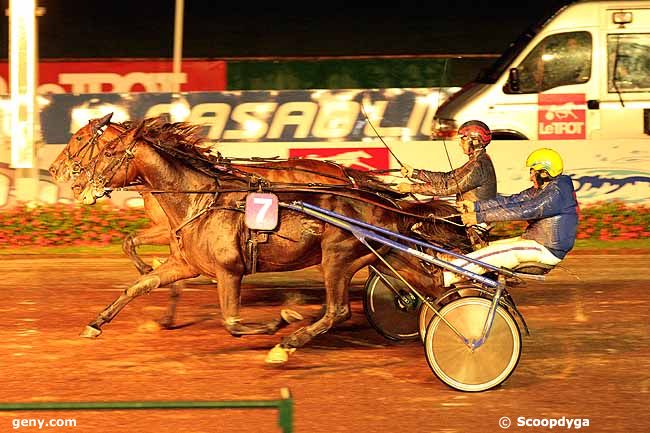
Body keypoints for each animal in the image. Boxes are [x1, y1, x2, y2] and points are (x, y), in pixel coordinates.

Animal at [68, 118, 466, 362]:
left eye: (106, 152)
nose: (78, 185)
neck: (200, 198)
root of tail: (381, 201)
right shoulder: (184, 263)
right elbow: (137, 286)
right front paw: (96, 324)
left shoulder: (229, 271)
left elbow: (232, 323)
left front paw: (281, 321)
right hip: (386, 254)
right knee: (429, 285)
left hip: (337, 257)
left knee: (338, 311)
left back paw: (286, 345)